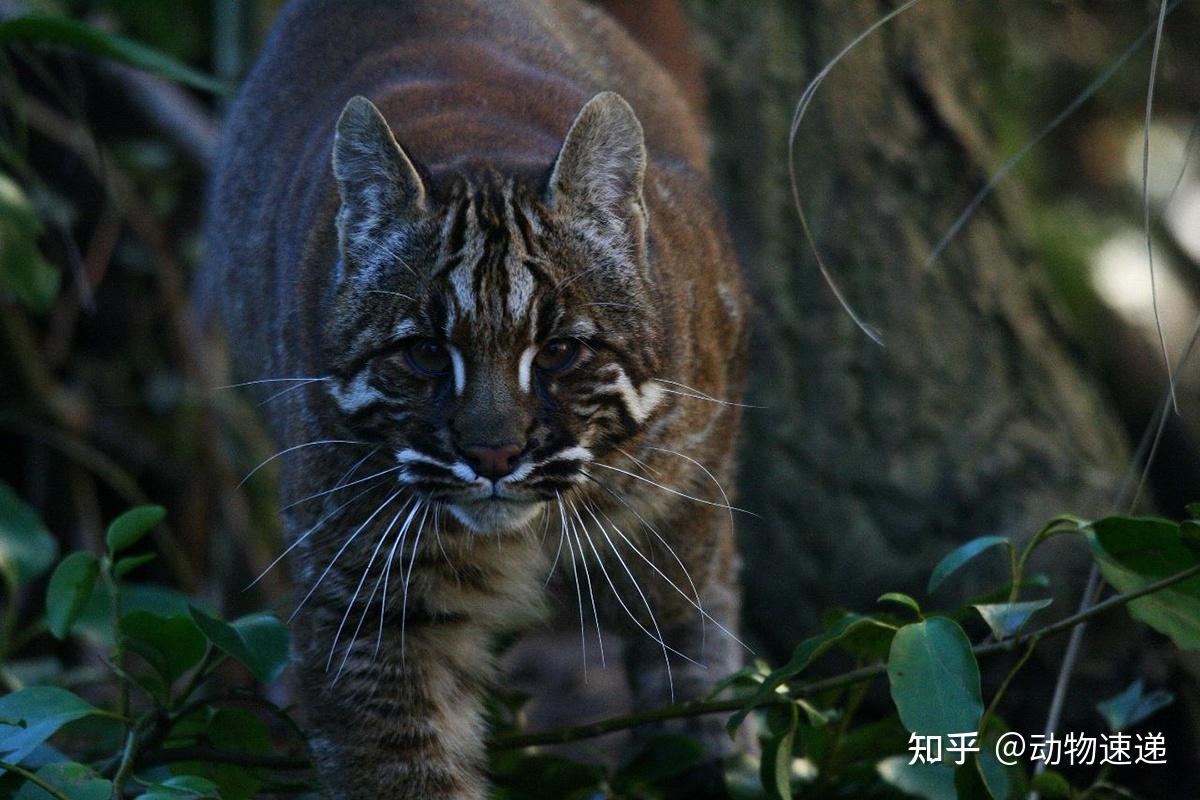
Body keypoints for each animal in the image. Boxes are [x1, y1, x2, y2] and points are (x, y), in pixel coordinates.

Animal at [202, 1, 748, 800]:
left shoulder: (687, 534)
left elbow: (696, 694)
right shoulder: (370, 606)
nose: (493, 456)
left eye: (559, 352)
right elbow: (406, 767)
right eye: (427, 353)